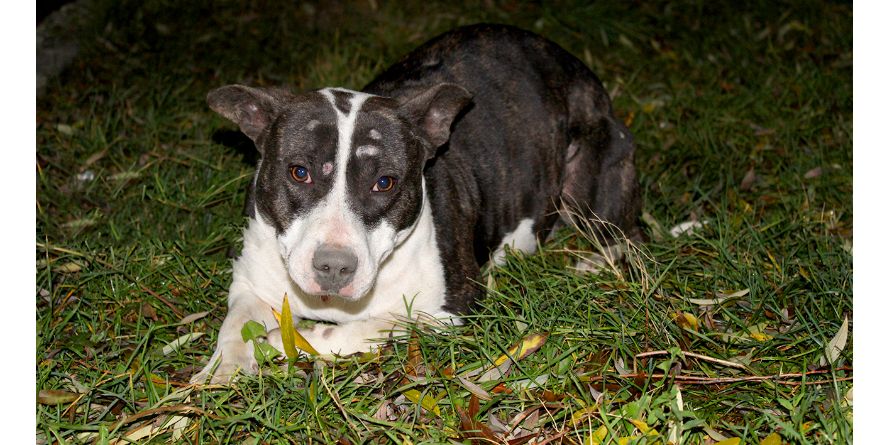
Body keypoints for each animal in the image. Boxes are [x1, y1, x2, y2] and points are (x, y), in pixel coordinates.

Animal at [191, 23, 640, 382]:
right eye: (299, 172)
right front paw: (223, 368)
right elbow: (235, 326)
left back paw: (592, 264)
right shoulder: (251, 283)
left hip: (591, 182)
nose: (334, 266)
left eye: (384, 183)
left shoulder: (450, 308)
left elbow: (380, 323)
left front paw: (293, 340)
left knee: (625, 237)